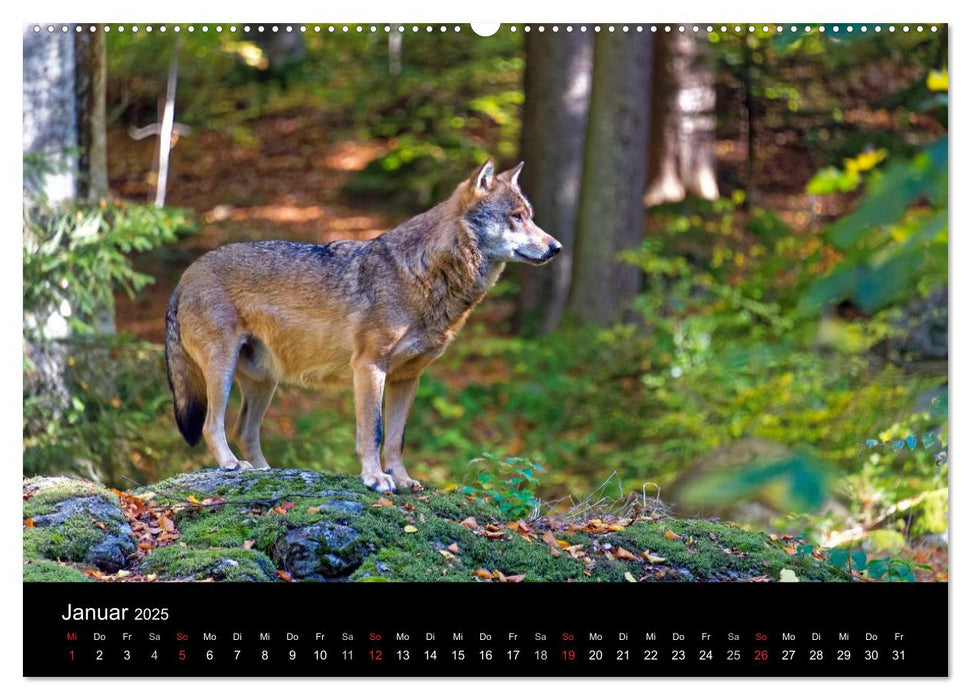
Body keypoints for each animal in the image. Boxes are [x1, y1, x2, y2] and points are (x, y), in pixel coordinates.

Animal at [165, 161, 560, 494]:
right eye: (516, 217)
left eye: (530, 217)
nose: (556, 247)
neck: (424, 272)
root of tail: (185, 275)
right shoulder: (370, 367)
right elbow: (374, 432)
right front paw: (375, 478)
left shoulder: (408, 378)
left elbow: (397, 438)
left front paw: (401, 479)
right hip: (223, 370)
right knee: (212, 425)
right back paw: (231, 465)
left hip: (265, 381)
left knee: (244, 430)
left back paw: (266, 471)